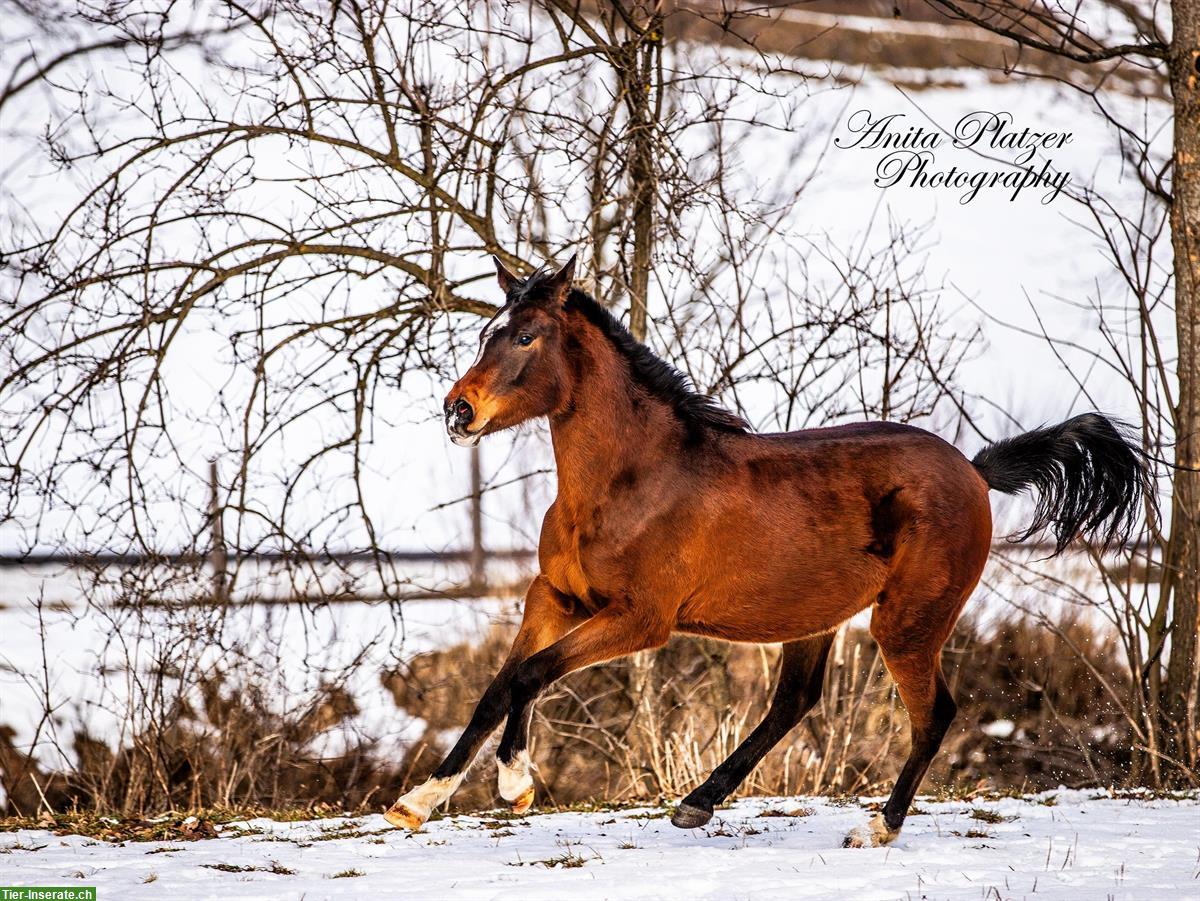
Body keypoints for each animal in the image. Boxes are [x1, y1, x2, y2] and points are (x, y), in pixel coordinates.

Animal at [388, 256, 1147, 849]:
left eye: (523, 335)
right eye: (485, 331)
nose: (458, 412)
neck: (631, 479)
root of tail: (974, 469)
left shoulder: (639, 619)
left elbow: (530, 674)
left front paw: (512, 783)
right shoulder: (556, 596)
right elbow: (502, 684)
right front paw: (420, 801)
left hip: (905, 621)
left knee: (933, 715)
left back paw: (877, 826)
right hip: (815, 614)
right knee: (795, 700)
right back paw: (698, 802)